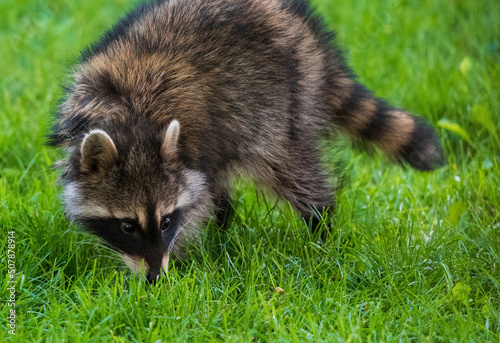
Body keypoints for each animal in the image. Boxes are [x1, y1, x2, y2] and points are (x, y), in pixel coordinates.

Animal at [48, 0, 444, 282]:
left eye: (165, 221)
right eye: (127, 226)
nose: (155, 279)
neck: (130, 122)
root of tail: (311, 38)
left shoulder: (193, 148)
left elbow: (196, 205)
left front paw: (177, 257)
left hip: (282, 103)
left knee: (290, 168)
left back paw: (320, 226)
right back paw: (225, 230)